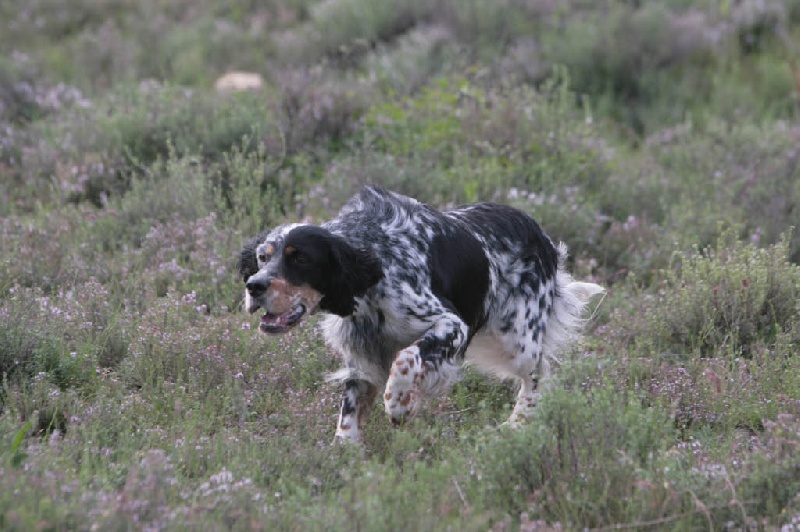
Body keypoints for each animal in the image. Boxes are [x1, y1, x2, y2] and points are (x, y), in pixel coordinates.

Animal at [241, 185, 604, 442]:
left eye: (300, 258)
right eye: (262, 256)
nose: (253, 286)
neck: (372, 271)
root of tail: (539, 233)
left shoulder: (451, 323)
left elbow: (405, 359)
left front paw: (400, 403)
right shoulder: (362, 352)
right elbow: (349, 411)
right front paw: (344, 451)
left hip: (518, 339)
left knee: (538, 374)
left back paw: (518, 424)